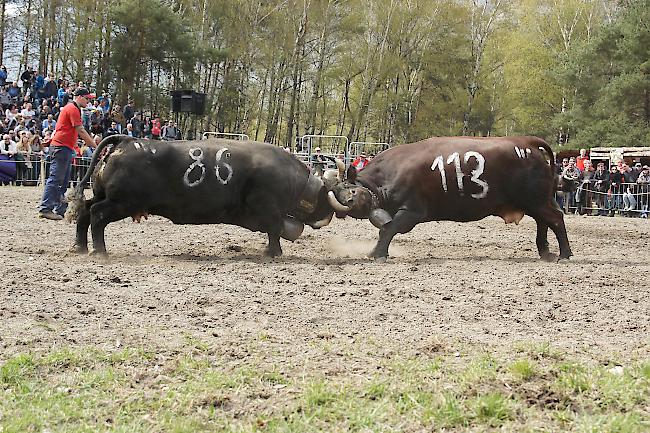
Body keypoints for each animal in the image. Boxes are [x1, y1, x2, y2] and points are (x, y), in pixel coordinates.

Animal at [68, 136, 336, 256]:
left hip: (105, 196)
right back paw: (99, 251)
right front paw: (274, 253)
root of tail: (127, 140)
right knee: (96, 215)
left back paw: (80, 247)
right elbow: (274, 230)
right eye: (325, 195)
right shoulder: (269, 209)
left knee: (85, 211)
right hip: (122, 202)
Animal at [326, 135, 568, 260]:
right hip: (536, 201)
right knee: (544, 221)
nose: (346, 205)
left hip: (536, 200)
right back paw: (545, 251)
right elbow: (385, 229)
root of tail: (526, 143)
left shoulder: (413, 212)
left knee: (555, 219)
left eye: (352, 191)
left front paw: (378, 253)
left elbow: (389, 229)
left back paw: (564, 254)